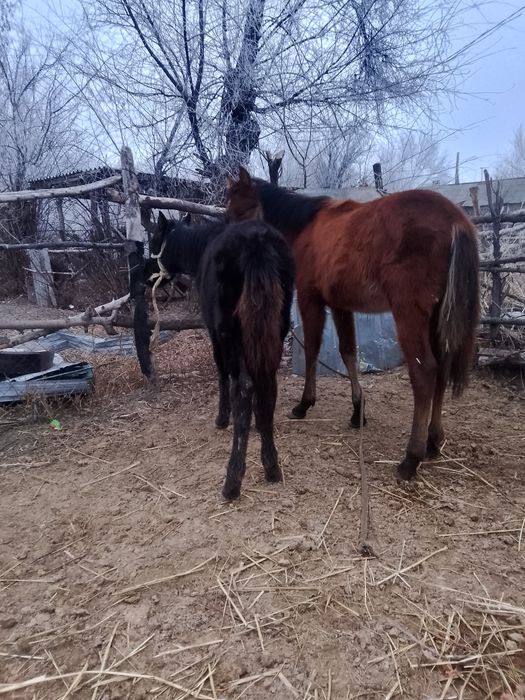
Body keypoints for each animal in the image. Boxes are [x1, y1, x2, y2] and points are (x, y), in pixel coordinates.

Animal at [146, 210, 295, 499]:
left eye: (154, 239)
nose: (148, 276)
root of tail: (257, 242)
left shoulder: (214, 333)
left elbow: (223, 374)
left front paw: (223, 418)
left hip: (230, 331)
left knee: (243, 387)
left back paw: (232, 481)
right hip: (276, 327)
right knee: (268, 385)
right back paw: (272, 467)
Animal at [226, 167, 480, 481]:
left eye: (240, 210)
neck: (307, 227)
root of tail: (456, 220)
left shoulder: (310, 299)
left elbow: (312, 349)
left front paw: (304, 404)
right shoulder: (340, 305)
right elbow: (348, 352)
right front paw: (358, 410)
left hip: (409, 315)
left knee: (425, 373)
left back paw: (411, 458)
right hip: (435, 316)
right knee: (442, 368)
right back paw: (433, 441)